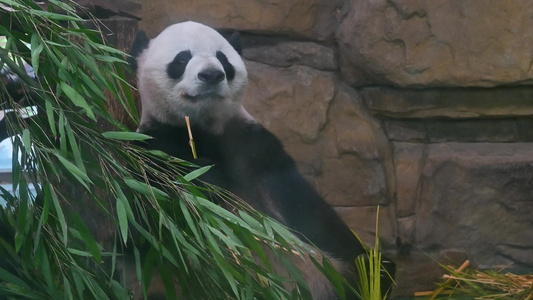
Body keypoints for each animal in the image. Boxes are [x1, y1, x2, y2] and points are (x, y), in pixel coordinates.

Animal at [130, 21, 392, 300]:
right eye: (182, 58)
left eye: (223, 59)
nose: (212, 75)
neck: (203, 128)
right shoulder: (151, 146)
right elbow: (144, 225)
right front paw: (202, 177)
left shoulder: (256, 151)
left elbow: (313, 218)